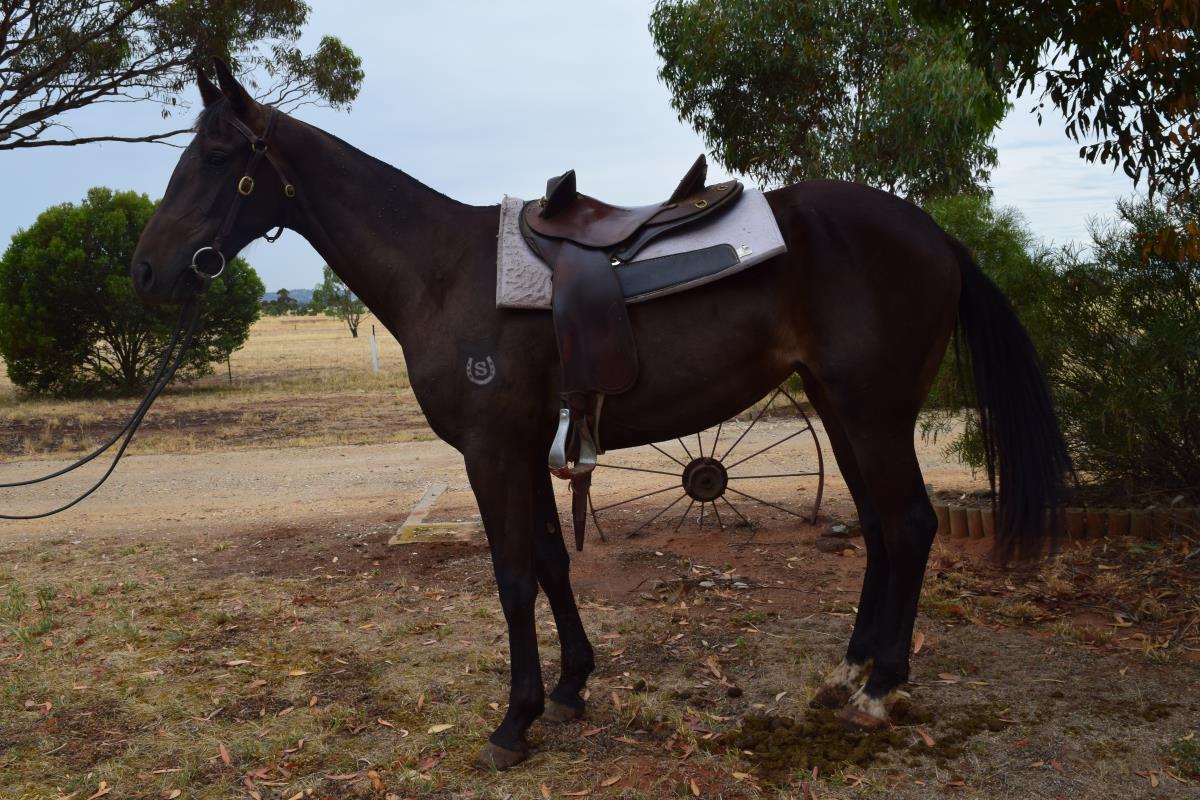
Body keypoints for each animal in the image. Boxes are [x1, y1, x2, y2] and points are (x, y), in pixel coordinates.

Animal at [130, 61, 1071, 769]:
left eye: (216, 154)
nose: (145, 271)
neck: (442, 271)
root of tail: (934, 234)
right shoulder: (527, 448)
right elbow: (552, 562)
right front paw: (572, 686)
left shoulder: (490, 452)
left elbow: (513, 577)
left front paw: (514, 723)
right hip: (844, 413)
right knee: (880, 528)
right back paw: (849, 671)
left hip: (872, 414)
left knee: (909, 525)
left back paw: (880, 689)